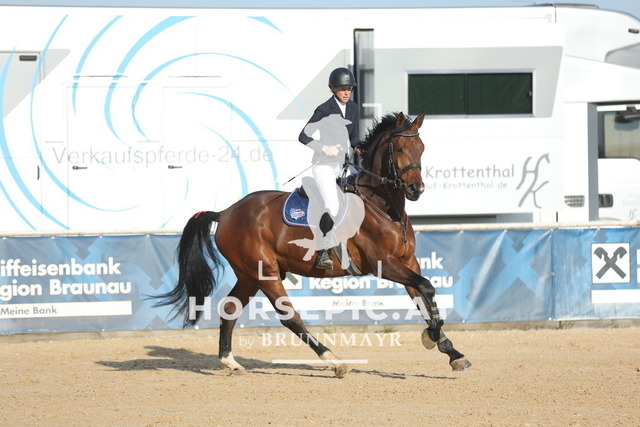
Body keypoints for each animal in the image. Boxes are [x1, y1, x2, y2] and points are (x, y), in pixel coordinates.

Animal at [155, 111, 471, 377]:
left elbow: (423, 296)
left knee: (230, 310)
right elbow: (427, 288)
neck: (385, 209)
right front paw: (433, 338)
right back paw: (334, 361)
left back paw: (229, 362)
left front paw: (450, 350)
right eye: (401, 149)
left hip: (249, 275)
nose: (416, 189)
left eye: (422, 148)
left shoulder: (407, 262)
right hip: (265, 273)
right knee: (290, 318)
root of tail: (226, 212)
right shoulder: (384, 264)